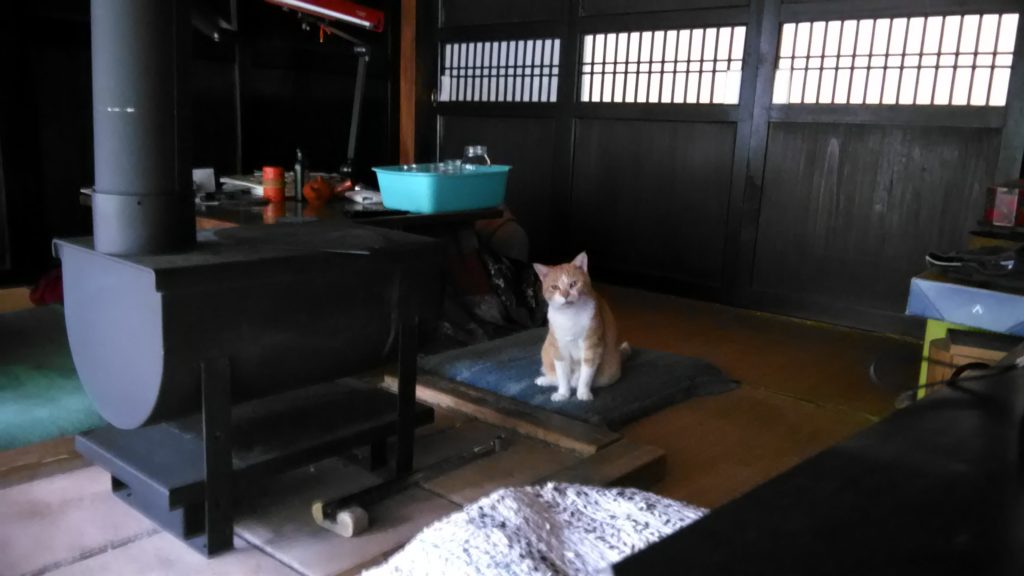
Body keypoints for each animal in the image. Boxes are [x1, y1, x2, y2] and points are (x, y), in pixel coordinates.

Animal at [532, 252, 631, 402]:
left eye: (573, 284)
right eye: (555, 287)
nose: (565, 295)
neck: (569, 316)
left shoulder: (592, 346)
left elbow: (585, 375)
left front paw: (583, 393)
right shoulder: (559, 349)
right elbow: (562, 376)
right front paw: (563, 394)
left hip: (609, 372)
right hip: (548, 348)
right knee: (556, 377)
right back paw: (545, 380)